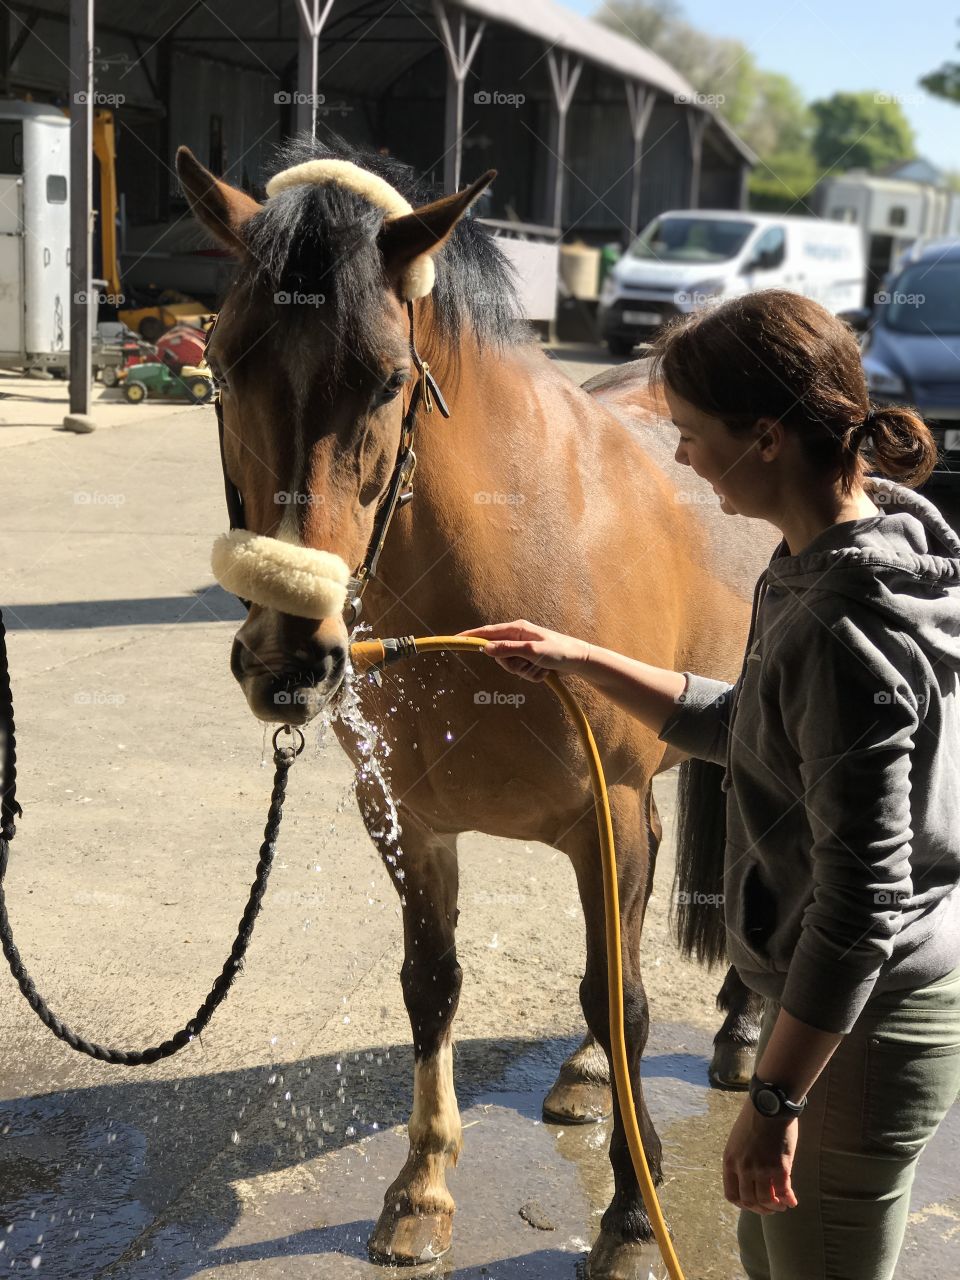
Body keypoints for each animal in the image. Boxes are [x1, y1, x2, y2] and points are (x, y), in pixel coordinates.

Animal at [179, 135, 783, 1274]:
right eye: (223, 368)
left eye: (387, 379)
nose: (289, 658)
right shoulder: (410, 819)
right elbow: (435, 983)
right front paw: (421, 1187)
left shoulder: (611, 813)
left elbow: (621, 994)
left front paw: (631, 1215)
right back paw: (590, 1073)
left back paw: (737, 1032)